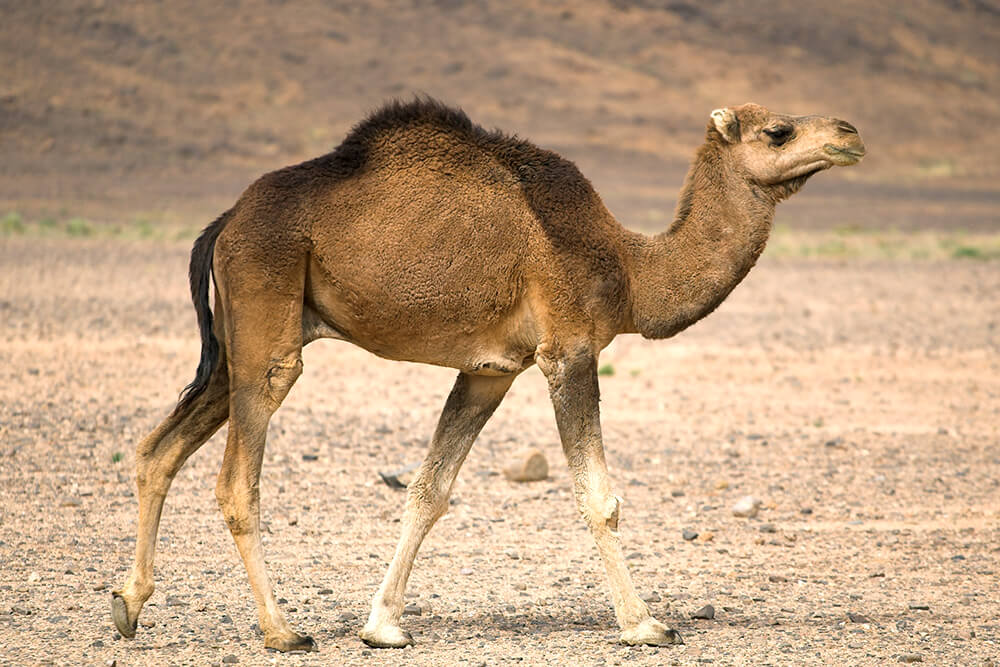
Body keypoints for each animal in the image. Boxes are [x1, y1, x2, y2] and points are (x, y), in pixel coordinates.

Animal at [107, 99, 860, 652]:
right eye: (778, 130)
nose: (849, 133)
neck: (628, 266)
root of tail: (227, 220)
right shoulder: (568, 349)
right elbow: (598, 498)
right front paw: (644, 623)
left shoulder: (490, 370)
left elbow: (430, 490)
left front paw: (382, 625)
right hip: (267, 310)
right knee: (238, 478)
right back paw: (281, 630)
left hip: (236, 341)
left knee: (155, 449)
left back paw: (128, 604)